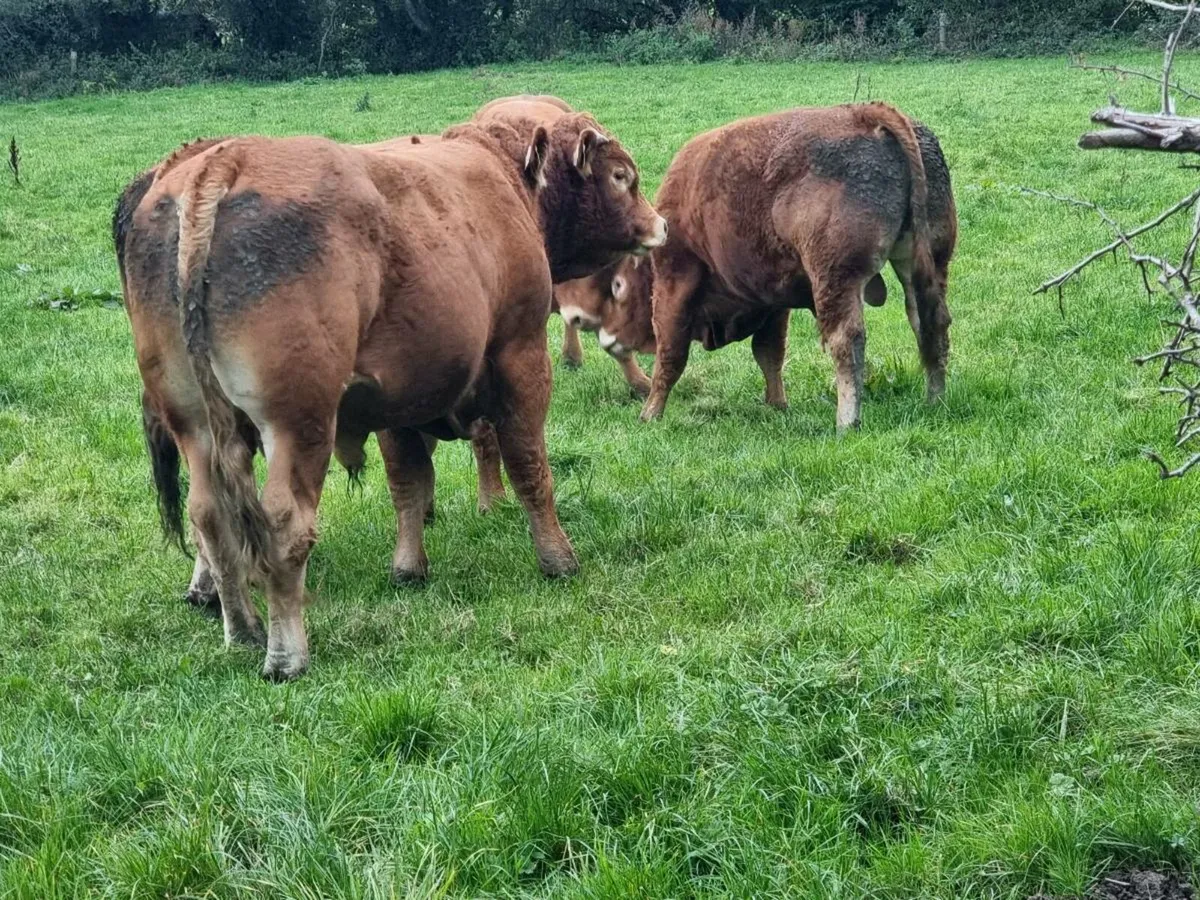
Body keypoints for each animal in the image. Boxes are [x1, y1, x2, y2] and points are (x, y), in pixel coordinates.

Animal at [116, 115, 665, 680]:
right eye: (621, 176)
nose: (660, 224)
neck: (500, 171)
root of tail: (223, 163)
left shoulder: (399, 395)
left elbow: (408, 481)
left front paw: (408, 566)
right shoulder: (521, 356)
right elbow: (529, 466)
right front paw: (557, 558)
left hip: (195, 423)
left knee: (209, 515)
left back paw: (242, 629)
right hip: (299, 423)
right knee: (284, 524)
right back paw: (285, 652)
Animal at [623, 103, 954, 432]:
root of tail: (866, 113)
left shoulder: (675, 282)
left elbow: (671, 355)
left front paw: (650, 413)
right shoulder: (774, 302)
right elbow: (769, 353)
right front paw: (778, 405)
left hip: (836, 278)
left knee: (846, 340)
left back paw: (846, 422)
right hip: (925, 263)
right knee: (929, 323)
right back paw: (934, 400)